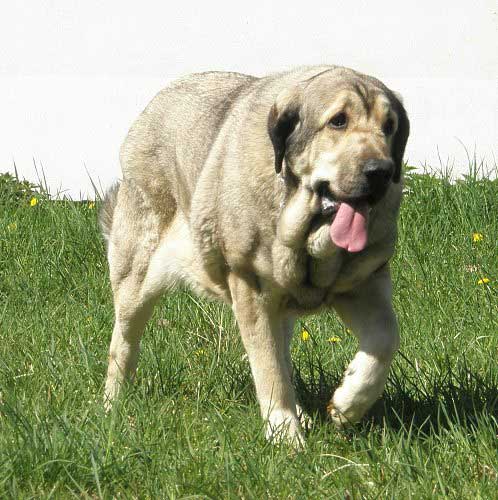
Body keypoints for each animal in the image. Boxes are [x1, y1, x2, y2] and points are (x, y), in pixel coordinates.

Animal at [100, 64, 408, 444]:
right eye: (338, 121)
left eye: (389, 126)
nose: (380, 171)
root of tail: (152, 107)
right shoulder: (251, 288)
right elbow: (269, 367)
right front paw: (285, 435)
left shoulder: (364, 284)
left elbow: (385, 340)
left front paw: (348, 404)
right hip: (137, 272)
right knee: (123, 341)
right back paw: (113, 405)